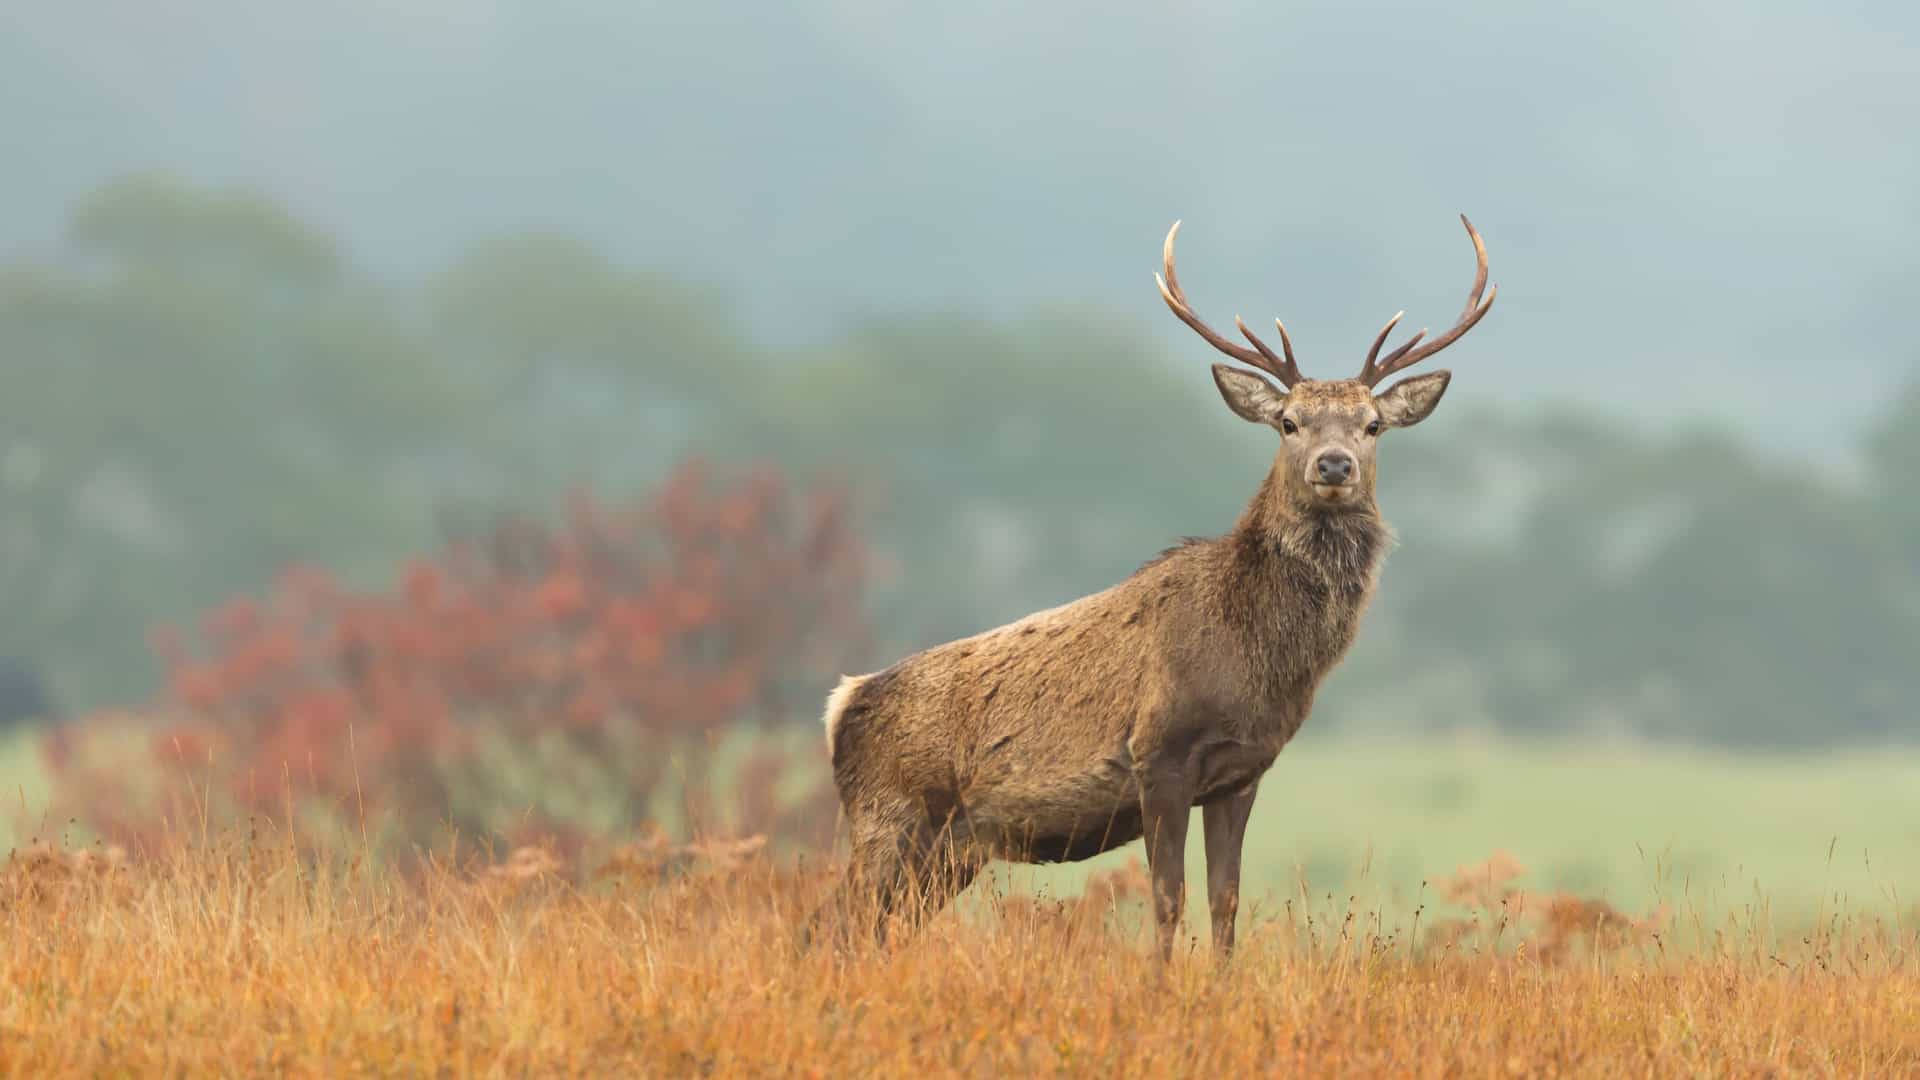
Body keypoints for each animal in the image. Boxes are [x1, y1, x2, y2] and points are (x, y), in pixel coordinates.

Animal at [811, 215, 1497, 959]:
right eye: (1289, 423)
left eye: (1373, 425)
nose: (1335, 464)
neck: (1257, 661)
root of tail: (841, 707)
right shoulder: (1157, 755)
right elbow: (1168, 898)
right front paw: (1161, 980)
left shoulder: (1242, 773)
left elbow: (1225, 900)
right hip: (888, 815)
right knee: (830, 923)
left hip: (950, 848)